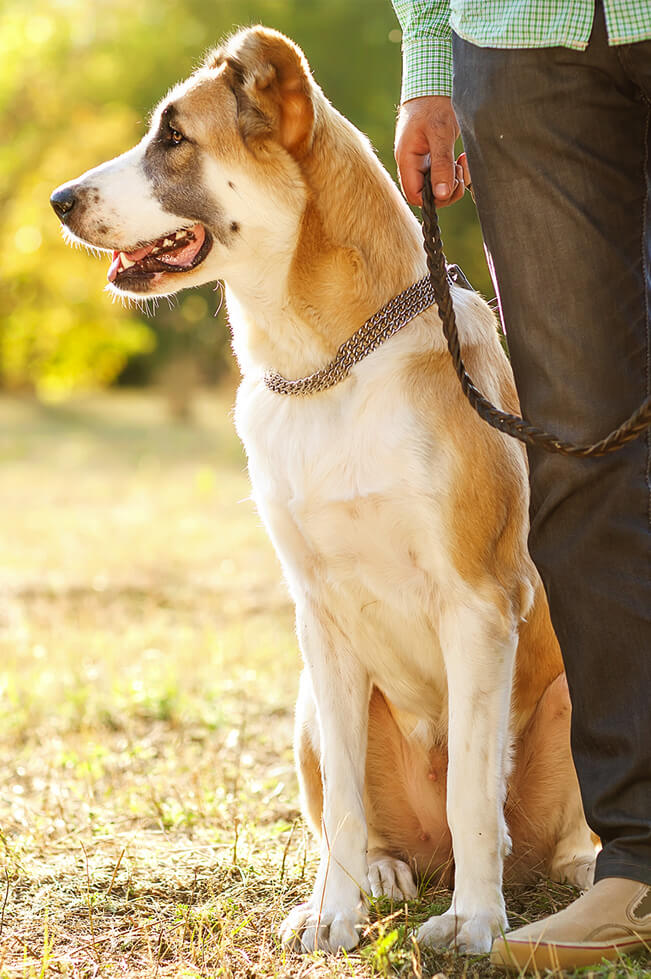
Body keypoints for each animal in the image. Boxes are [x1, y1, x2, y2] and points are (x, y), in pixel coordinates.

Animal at [52, 24, 596, 956]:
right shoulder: (322, 618)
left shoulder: (477, 602)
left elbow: (470, 787)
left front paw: (474, 923)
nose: (57, 200)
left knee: (526, 829)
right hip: (309, 700)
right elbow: (342, 800)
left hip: (561, 695)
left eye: (175, 136)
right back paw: (383, 874)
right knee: (373, 821)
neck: (331, 366)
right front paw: (332, 911)